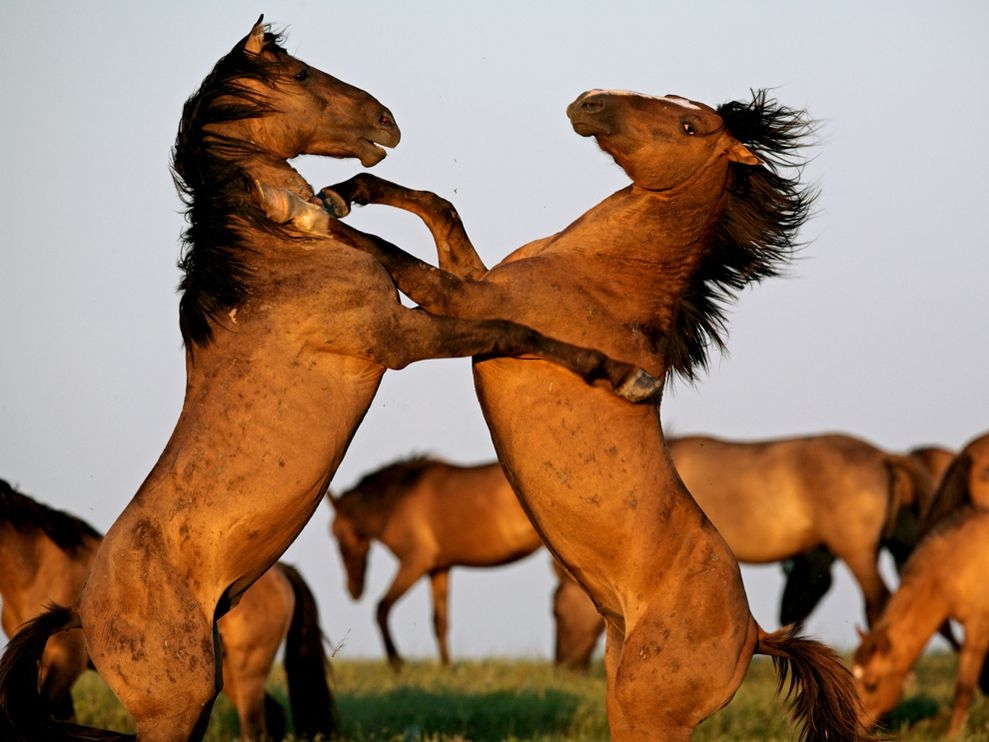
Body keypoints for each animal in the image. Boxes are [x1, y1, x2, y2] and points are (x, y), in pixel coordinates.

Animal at [0, 482, 336, 742]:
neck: (41, 568)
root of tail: (282, 573)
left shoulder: (66, 662)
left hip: (249, 668)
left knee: (255, 725)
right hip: (226, 672)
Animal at [326, 456, 540, 672]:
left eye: (336, 535)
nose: (353, 591)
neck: (400, 496)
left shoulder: (415, 563)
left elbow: (382, 608)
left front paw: (397, 662)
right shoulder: (439, 569)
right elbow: (440, 622)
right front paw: (447, 668)